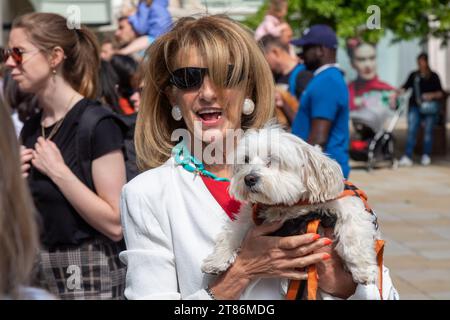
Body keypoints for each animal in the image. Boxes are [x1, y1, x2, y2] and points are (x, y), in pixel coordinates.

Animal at [202, 124, 382, 284]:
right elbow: (233, 231)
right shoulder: (250, 214)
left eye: (272, 160)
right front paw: (217, 259)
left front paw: (363, 269)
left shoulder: (348, 204)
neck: (286, 206)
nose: (248, 178)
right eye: (245, 160)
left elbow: (354, 235)